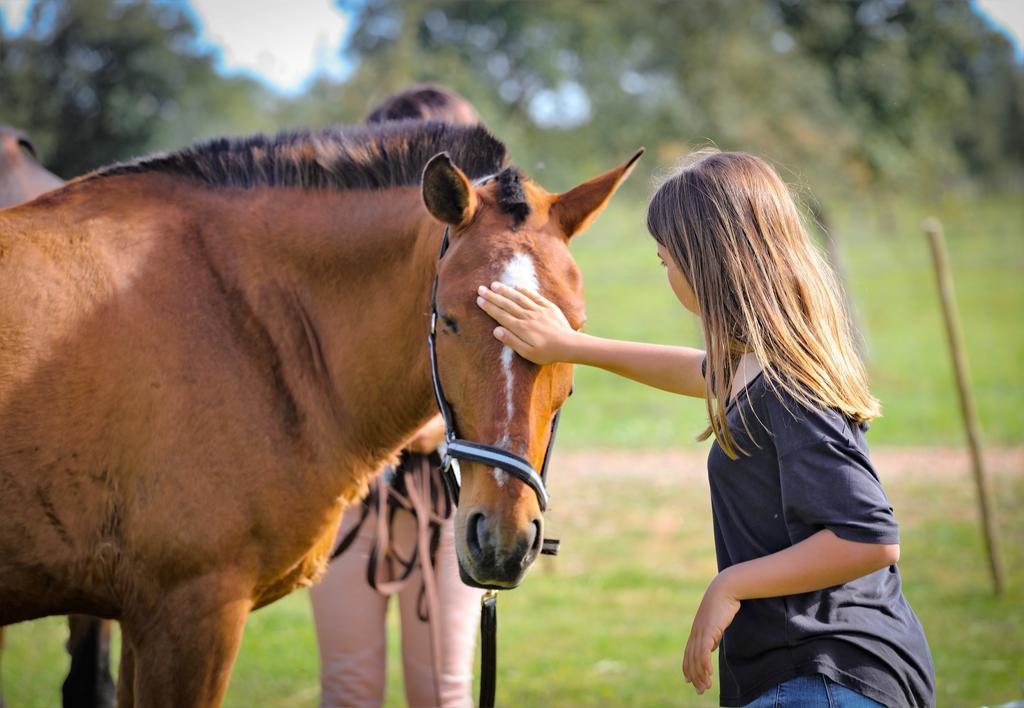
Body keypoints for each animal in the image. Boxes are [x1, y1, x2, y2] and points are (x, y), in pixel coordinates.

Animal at [0, 121, 638, 704]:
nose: (501, 541)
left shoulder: (144, 617)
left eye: (573, 328)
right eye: (452, 320)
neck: (243, 317)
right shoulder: (188, 612)